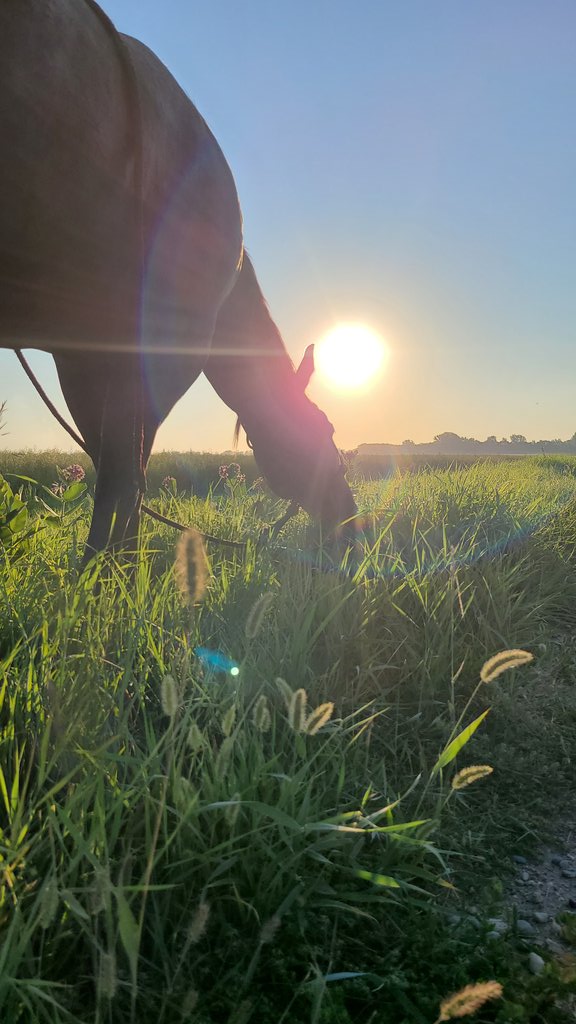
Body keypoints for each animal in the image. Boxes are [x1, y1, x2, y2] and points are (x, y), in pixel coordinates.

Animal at [0, 0, 357, 557]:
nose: (350, 519)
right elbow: (127, 477)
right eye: (325, 426)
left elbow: (117, 467)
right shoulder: (157, 351)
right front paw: (109, 573)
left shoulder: (83, 356)